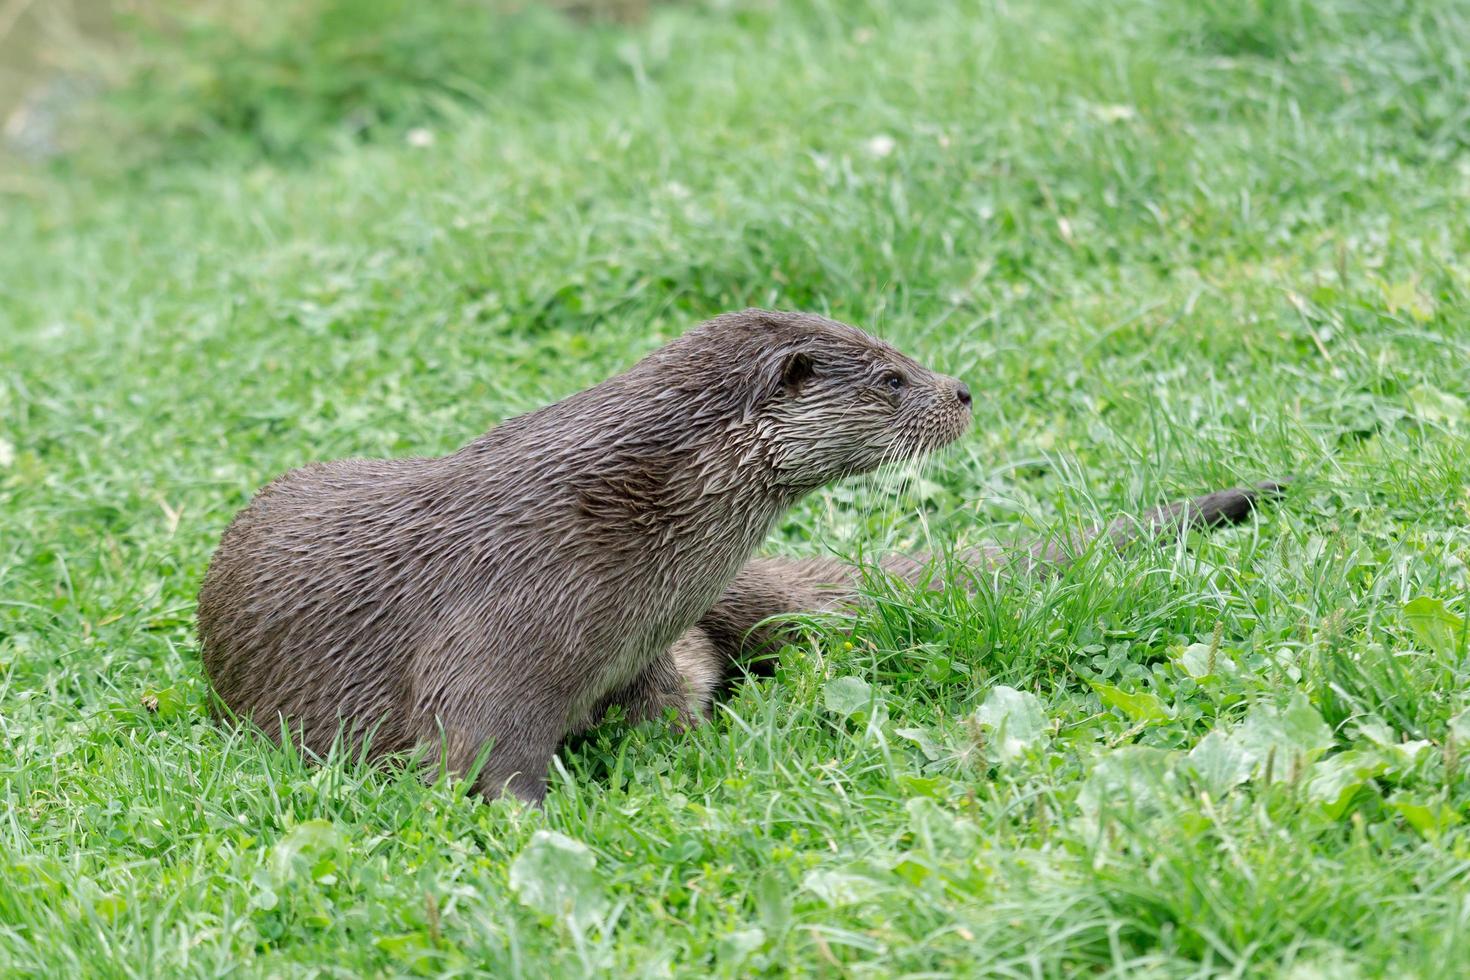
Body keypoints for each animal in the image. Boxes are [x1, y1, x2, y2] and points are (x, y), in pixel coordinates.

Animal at [198, 310, 976, 799]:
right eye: (892, 379)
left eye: (900, 355)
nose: (964, 391)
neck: (603, 522)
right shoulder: (498, 631)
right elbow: (477, 752)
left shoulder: (641, 651)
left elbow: (667, 711)